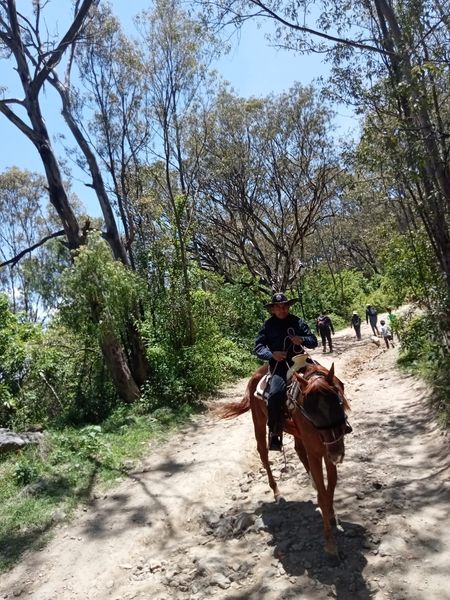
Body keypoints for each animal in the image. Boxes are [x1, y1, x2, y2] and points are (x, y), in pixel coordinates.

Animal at [216, 358, 350, 556]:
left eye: (338, 400)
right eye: (310, 410)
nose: (337, 453)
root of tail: (257, 373)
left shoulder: (327, 448)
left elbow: (331, 485)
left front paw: (333, 516)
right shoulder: (316, 450)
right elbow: (323, 494)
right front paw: (330, 544)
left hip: (298, 433)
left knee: (298, 450)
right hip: (259, 421)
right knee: (263, 452)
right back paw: (277, 493)